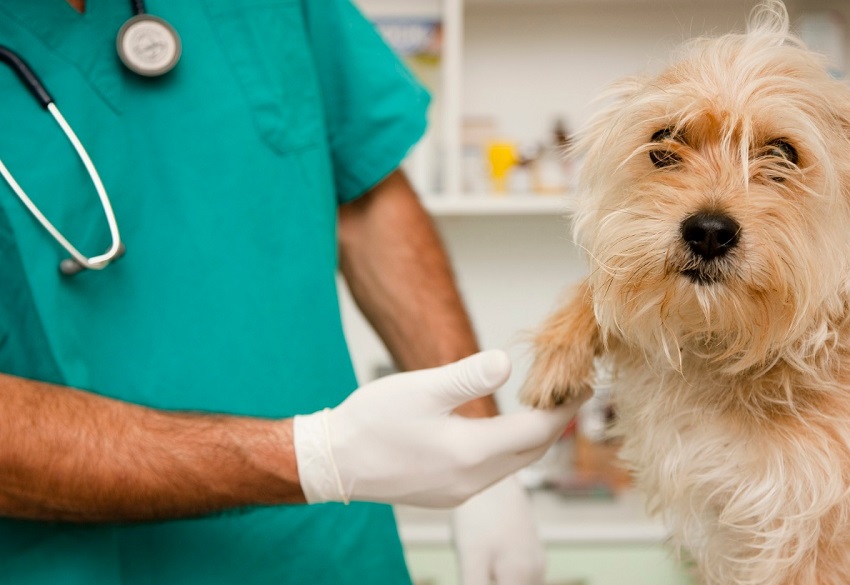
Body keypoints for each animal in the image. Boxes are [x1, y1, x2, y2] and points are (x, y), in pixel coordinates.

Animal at [520, 2, 848, 580]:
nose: (709, 231)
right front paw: (557, 355)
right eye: (665, 142)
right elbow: (605, 284)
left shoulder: (810, 533)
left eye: (784, 153)